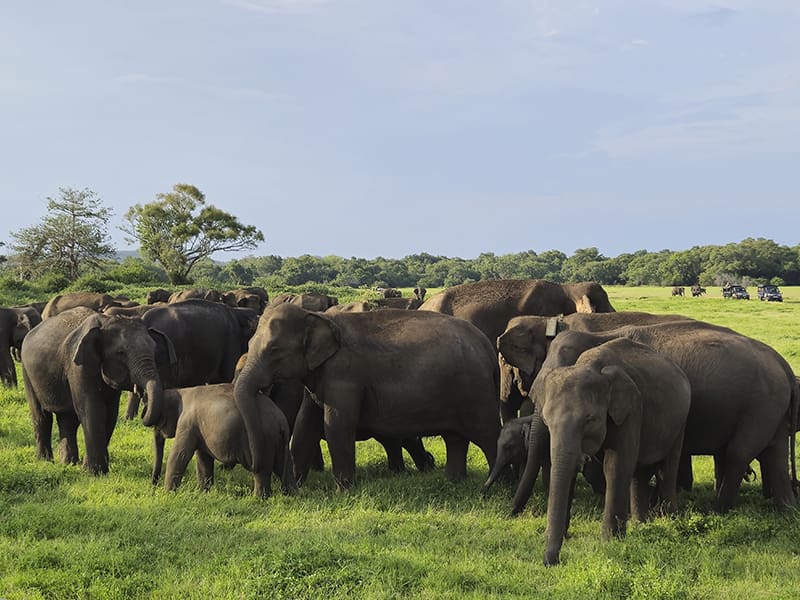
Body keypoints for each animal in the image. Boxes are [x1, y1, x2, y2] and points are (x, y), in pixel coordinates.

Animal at [20, 307, 174, 474]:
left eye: (155, 350)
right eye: (120, 352)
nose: (144, 408)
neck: (105, 321)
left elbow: (111, 414)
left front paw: (97, 470)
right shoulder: (78, 366)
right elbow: (93, 410)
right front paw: (94, 472)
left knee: (67, 419)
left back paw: (68, 463)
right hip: (27, 373)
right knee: (41, 416)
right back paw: (45, 461)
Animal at [141, 382, 294, 498]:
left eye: (158, 422)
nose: (153, 485)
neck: (181, 391)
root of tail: (282, 421)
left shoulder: (187, 423)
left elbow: (179, 455)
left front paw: (167, 494)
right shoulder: (200, 429)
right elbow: (203, 458)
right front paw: (202, 493)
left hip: (265, 440)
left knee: (262, 471)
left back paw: (258, 499)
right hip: (277, 441)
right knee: (283, 466)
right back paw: (291, 494)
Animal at [234, 304, 501, 489]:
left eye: (274, 350)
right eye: (248, 343)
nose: (253, 465)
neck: (319, 316)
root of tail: (488, 346)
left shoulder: (344, 375)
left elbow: (337, 426)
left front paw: (343, 492)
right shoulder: (317, 377)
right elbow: (304, 427)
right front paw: (297, 487)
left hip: (477, 393)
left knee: (489, 436)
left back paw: (498, 487)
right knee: (455, 438)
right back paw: (453, 482)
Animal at [500, 314, 798, 514]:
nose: (513, 513)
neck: (600, 336)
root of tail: (783, 364)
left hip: (760, 406)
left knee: (738, 454)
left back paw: (717, 510)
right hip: (771, 408)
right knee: (774, 455)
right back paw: (786, 510)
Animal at [536, 337, 691, 566]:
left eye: (589, 419)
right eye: (546, 421)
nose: (551, 562)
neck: (591, 366)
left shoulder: (631, 410)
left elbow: (616, 467)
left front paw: (610, 541)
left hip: (680, 422)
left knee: (668, 468)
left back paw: (670, 519)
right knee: (639, 473)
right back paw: (640, 525)